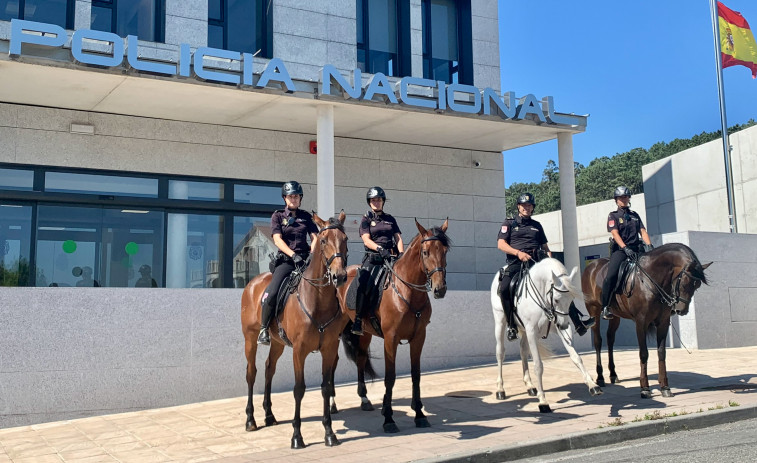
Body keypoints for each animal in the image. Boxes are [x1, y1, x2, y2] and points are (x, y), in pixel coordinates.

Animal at [239, 213, 348, 450]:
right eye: (323, 240)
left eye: (344, 239)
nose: (340, 276)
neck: (317, 300)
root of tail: (252, 283)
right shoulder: (299, 350)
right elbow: (299, 389)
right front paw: (297, 437)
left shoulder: (329, 348)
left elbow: (326, 387)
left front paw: (329, 433)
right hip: (250, 339)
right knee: (251, 373)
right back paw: (250, 420)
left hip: (278, 343)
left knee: (269, 369)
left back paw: (269, 415)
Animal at [334, 219, 446, 434]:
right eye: (425, 252)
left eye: (445, 250)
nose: (440, 289)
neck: (406, 291)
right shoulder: (390, 338)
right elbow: (390, 377)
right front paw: (388, 418)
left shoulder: (419, 337)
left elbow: (416, 375)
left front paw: (420, 414)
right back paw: (332, 404)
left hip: (364, 333)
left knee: (360, 358)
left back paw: (364, 399)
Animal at [490, 258, 604, 414]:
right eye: (556, 299)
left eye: (571, 300)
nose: (563, 325)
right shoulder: (532, 331)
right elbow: (538, 366)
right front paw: (543, 401)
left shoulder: (558, 329)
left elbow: (576, 357)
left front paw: (593, 385)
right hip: (500, 323)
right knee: (500, 353)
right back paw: (500, 389)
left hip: (525, 332)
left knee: (523, 351)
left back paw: (530, 386)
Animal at [580, 243, 708, 398]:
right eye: (684, 282)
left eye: (697, 286)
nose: (681, 310)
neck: (652, 278)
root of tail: (591, 265)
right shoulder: (641, 322)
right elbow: (644, 353)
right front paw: (645, 388)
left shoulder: (663, 323)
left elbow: (661, 353)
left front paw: (665, 387)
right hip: (593, 310)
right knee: (598, 341)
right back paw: (600, 377)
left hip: (615, 315)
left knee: (610, 338)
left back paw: (613, 374)